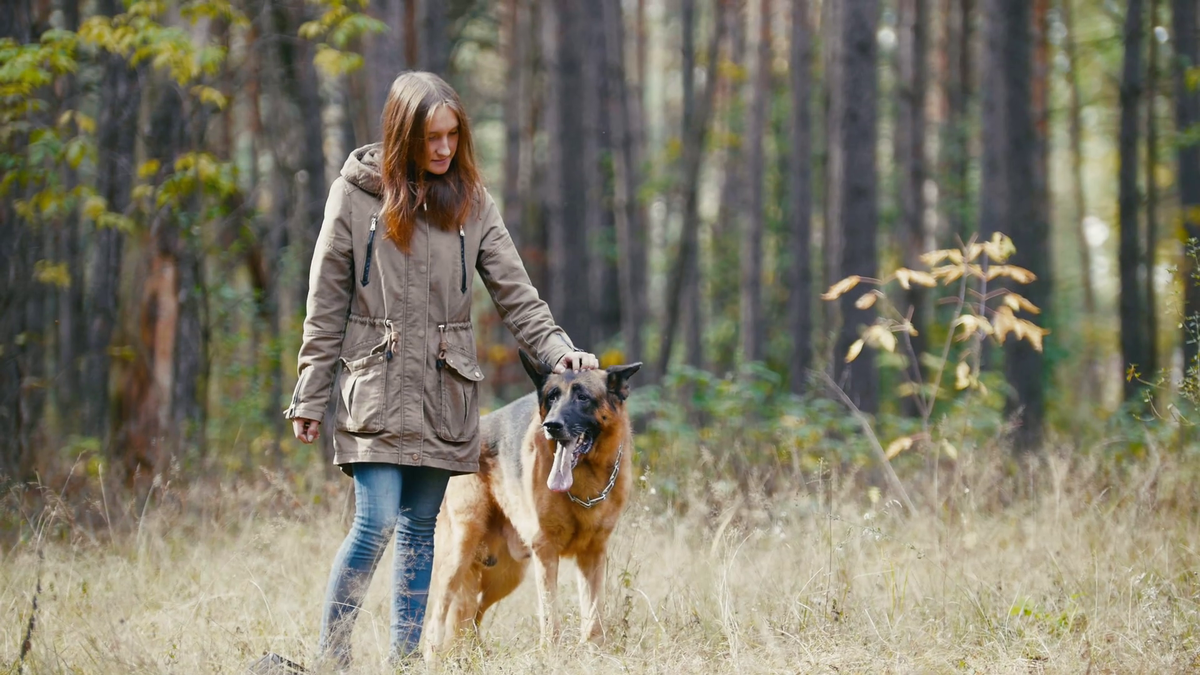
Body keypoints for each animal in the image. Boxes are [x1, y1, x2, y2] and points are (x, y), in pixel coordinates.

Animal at [424, 353, 643, 653]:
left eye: (583, 397)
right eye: (552, 397)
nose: (552, 425)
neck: (584, 482)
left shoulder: (593, 555)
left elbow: (594, 617)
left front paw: (594, 653)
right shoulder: (546, 552)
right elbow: (550, 617)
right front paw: (552, 655)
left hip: (506, 574)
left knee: (471, 619)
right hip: (460, 552)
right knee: (438, 613)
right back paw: (433, 654)